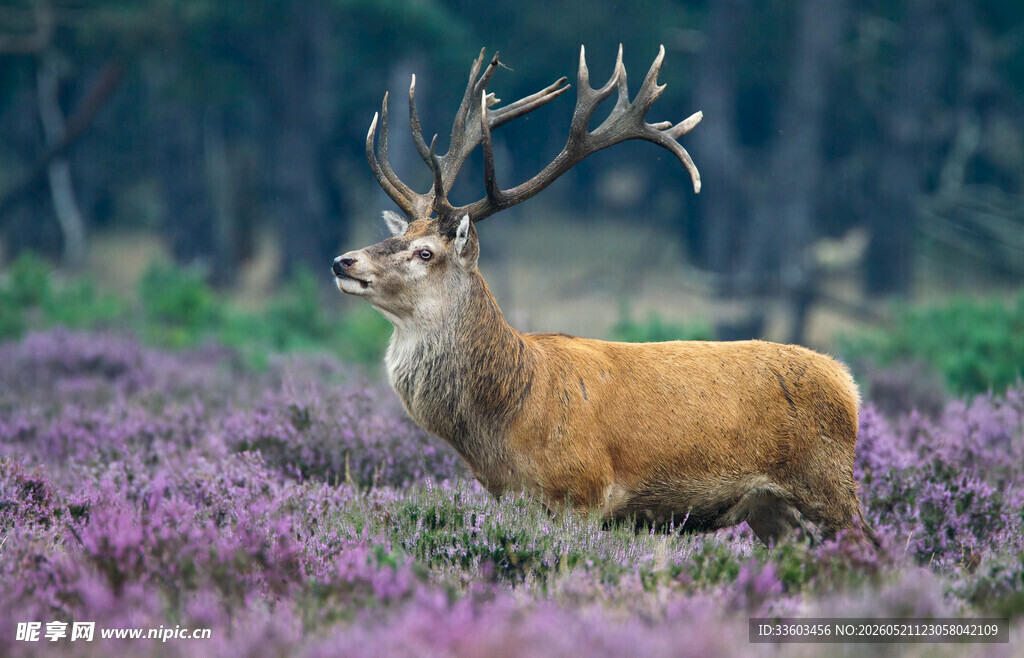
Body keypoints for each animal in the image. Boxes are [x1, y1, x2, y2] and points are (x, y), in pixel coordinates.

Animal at [333, 45, 878, 548]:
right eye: (400, 236)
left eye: (425, 252)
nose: (344, 261)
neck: (510, 413)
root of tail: (848, 383)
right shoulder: (513, 498)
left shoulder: (582, 492)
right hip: (770, 509)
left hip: (828, 484)